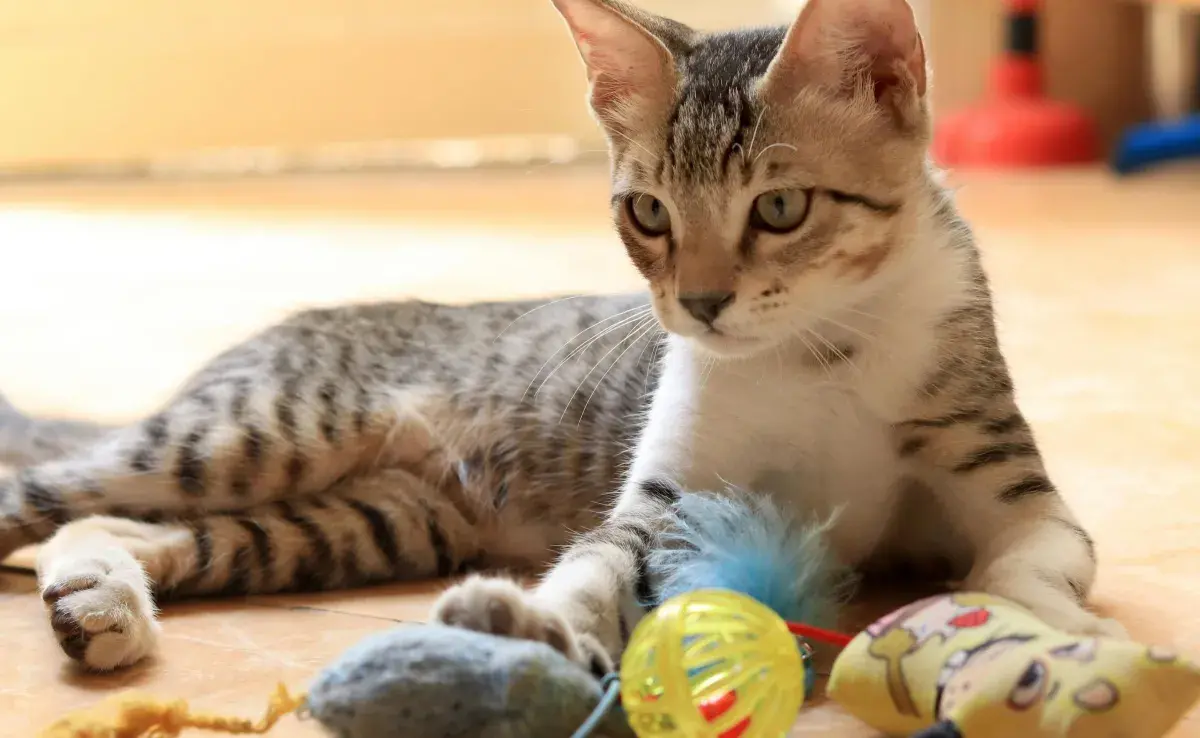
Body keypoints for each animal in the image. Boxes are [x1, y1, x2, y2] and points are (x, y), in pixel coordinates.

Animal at [0, 0, 1118, 676]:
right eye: (648, 213)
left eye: (781, 207)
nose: (700, 305)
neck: (815, 349)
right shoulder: (670, 496)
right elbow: (600, 563)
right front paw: (541, 628)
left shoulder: (1013, 485)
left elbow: (1031, 560)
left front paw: (1058, 632)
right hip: (253, 434)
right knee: (51, 496)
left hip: (376, 520)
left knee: (118, 525)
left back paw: (99, 596)